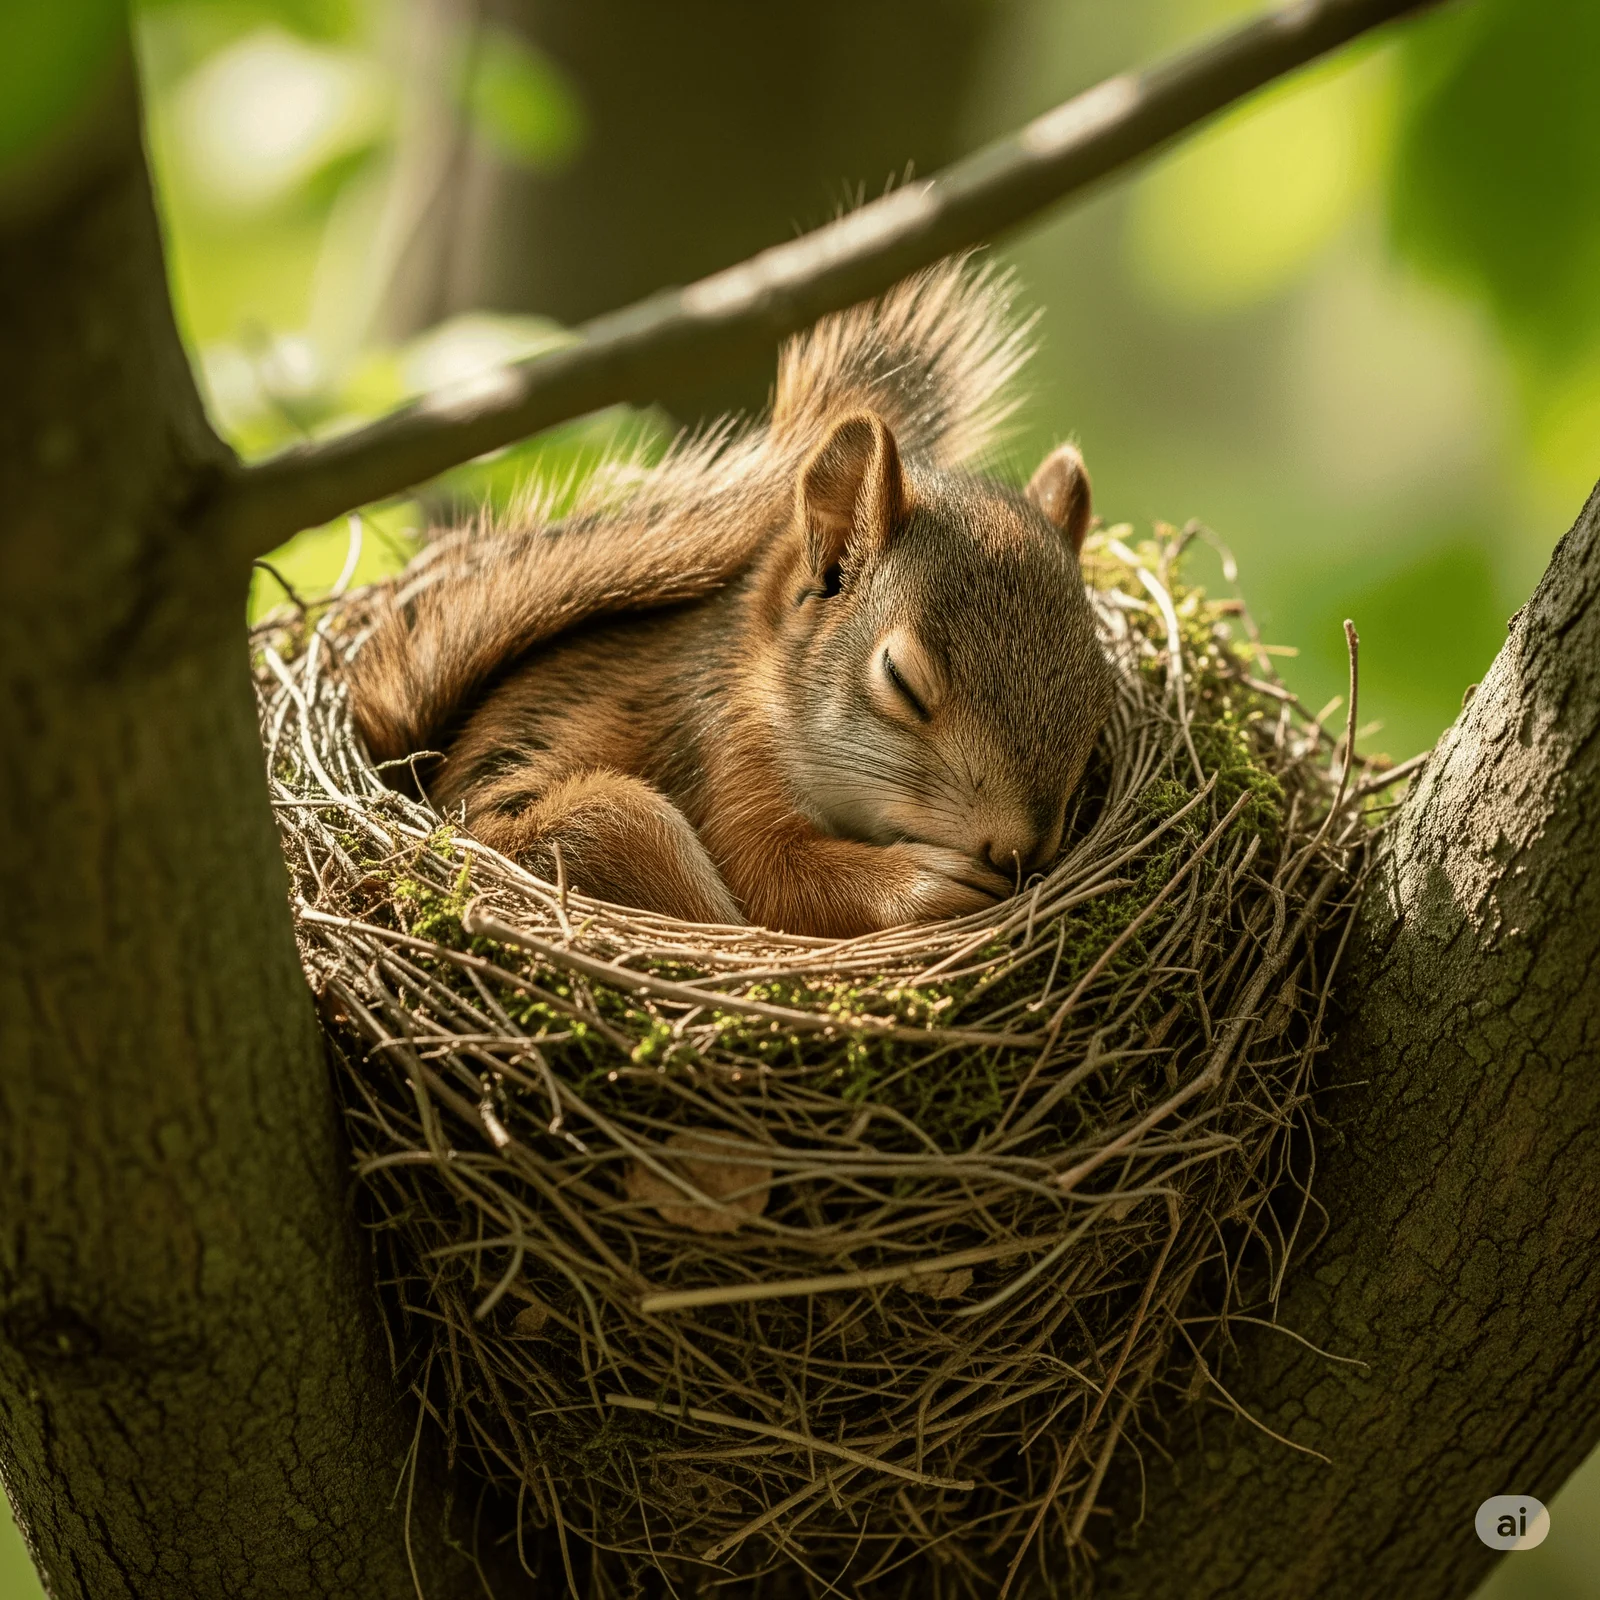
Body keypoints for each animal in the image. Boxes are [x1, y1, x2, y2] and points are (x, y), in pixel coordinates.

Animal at [348, 261, 1116, 938]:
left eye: (1098, 693)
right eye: (901, 680)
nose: (1016, 851)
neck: (766, 686)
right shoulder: (722, 754)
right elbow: (775, 881)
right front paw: (928, 884)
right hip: (612, 824)